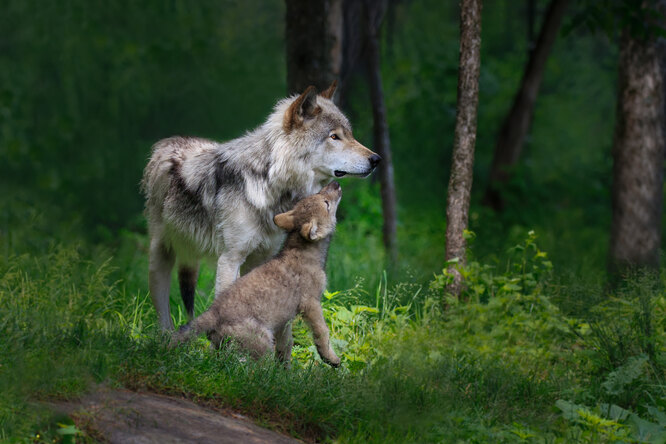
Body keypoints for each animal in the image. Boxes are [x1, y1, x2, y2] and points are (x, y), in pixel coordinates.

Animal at [140, 82, 378, 330]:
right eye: (334, 136)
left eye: (349, 135)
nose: (376, 159)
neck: (269, 181)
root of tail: (168, 142)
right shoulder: (230, 259)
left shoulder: (262, 258)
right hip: (160, 258)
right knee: (163, 312)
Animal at [171, 181, 342, 368]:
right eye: (326, 203)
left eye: (319, 194)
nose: (335, 183)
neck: (304, 252)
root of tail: (214, 312)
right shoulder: (311, 304)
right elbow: (322, 333)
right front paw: (331, 359)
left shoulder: (284, 320)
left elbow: (286, 345)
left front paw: (285, 371)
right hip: (262, 342)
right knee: (255, 369)